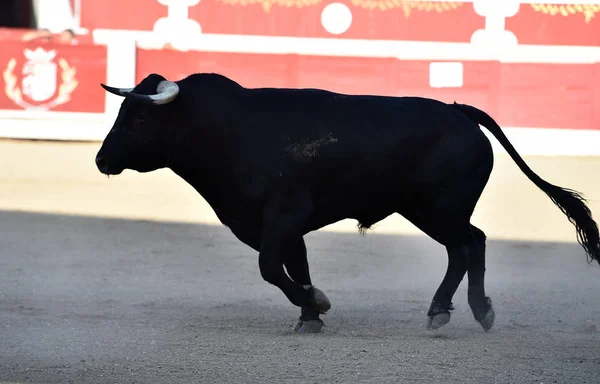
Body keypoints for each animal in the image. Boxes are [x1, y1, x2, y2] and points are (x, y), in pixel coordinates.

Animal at [95, 73, 600, 332]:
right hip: (425, 210)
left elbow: (270, 267)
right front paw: (309, 316)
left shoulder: (283, 214)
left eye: (138, 116)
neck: (227, 129)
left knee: (471, 243)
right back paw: (452, 309)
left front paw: (316, 303)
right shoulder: (275, 224)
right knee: (464, 247)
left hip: (443, 208)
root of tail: (460, 112)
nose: (101, 160)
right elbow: (293, 265)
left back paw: (468, 310)